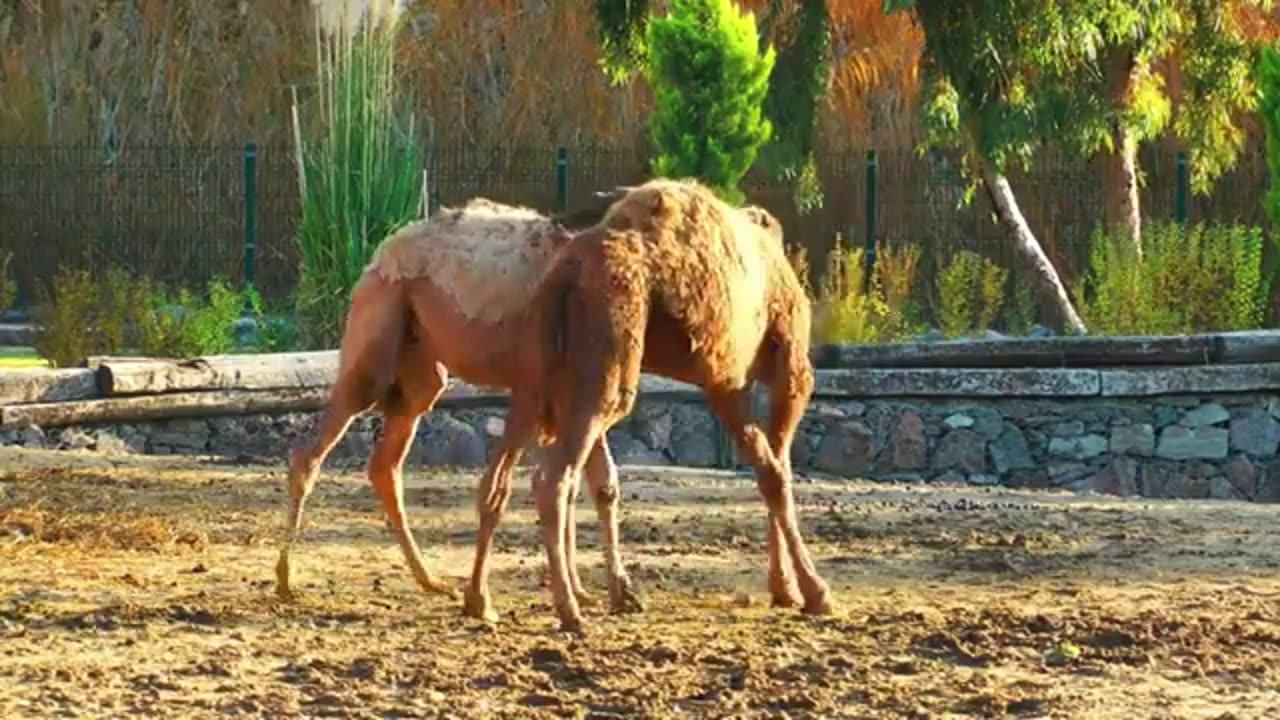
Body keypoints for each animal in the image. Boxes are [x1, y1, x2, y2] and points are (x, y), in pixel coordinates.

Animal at [273, 189, 783, 622]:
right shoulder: (553, 392)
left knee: (385, 464)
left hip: (422, 372)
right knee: (311, 452)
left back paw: (431, 580)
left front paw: (605, 592)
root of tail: (379, 254)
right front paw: (571, 595)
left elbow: (600, 485)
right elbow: (554, 483)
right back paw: (285, 580)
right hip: (377, 336)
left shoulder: (567, 400)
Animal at [504, 176, 834, 630]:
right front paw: (814, 592)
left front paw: (785, 589)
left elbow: (769, 469)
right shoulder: (790, 367)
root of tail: (565, 274)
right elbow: (778, 474)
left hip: (559, 373)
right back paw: (571, 611)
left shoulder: (729, 381)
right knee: (553, 476)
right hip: (611, 371)